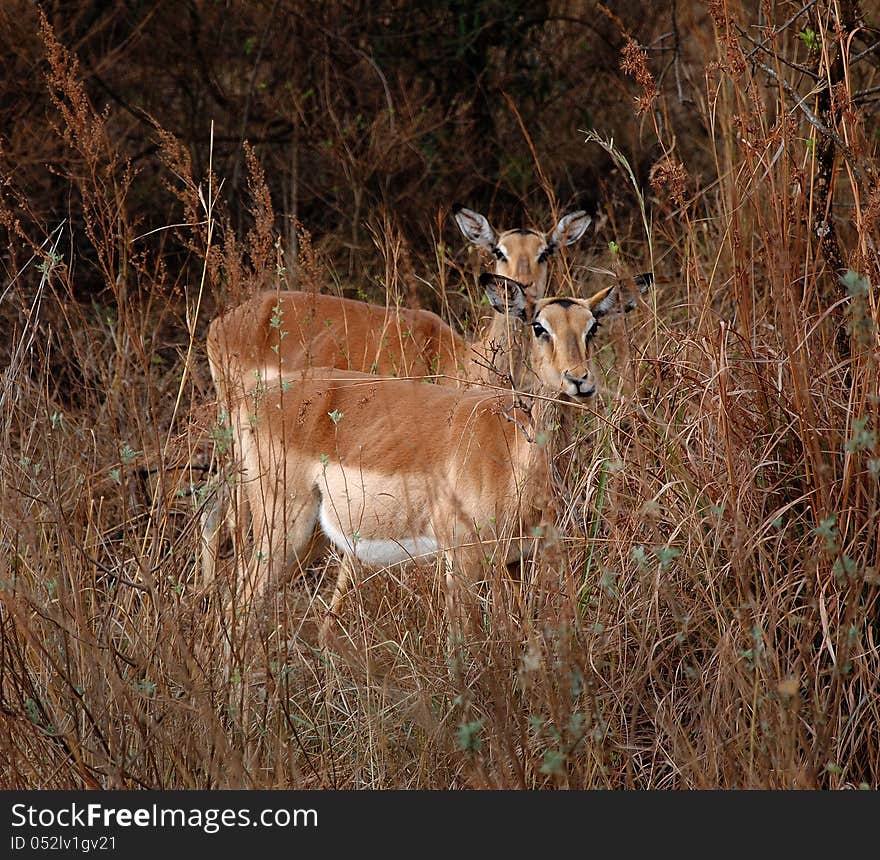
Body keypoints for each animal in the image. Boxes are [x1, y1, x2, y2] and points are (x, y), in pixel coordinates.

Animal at [230, 270, 648, 644]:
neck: (511, 454)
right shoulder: (462, 559)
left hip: (312, 536)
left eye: (592, 326)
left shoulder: (519, 560)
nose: (579, 379)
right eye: (538, 326)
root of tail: (259, 398)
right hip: (284, 526)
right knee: (242, 604)